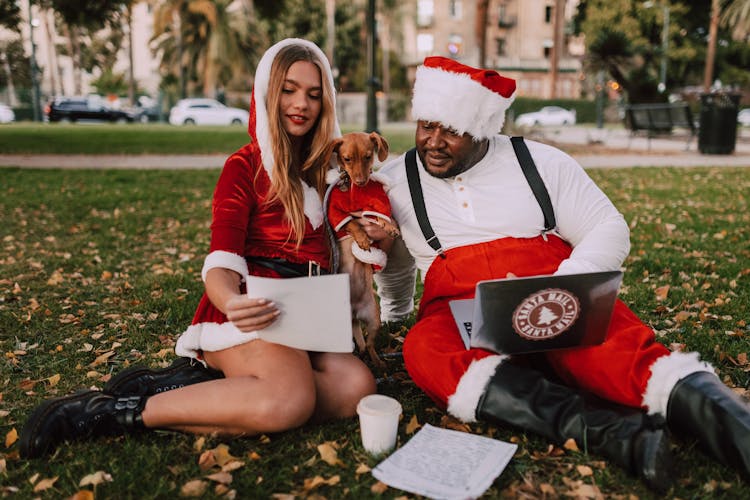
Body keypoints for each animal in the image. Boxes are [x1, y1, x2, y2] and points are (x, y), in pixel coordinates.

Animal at [326, 133, 402, 368]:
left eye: (368, 157)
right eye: (347, 159)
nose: (361, 181)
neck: (354, 190)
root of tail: (354, 312)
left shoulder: (377, 202)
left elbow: (379, 215)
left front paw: (390, 227)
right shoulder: (336, 213)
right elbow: (352, 223)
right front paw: (361, 239)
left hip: (374, 318)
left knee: (368, 345)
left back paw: (378, 362)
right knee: (359, 344)